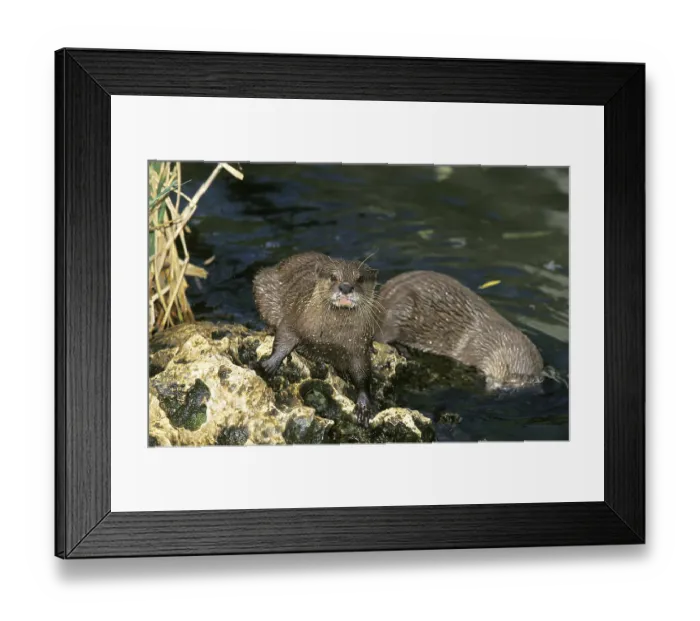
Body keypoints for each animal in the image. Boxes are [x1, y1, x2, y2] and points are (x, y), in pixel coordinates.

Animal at [253, 252, 382, 427]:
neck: (331, 337)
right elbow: (284, 338)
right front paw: (268, 365)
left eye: (360, 278)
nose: (346, 287)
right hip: (262, 283)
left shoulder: (358, 346)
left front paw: (364, 405)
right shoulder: (296, 317)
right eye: (333, 277)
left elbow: (362, 372)